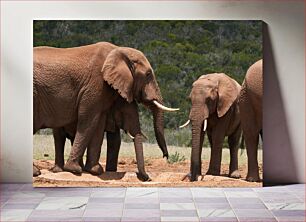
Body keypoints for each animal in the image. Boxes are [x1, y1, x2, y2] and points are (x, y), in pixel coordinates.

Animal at [32, 42, 177, 179]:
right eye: (148, 74)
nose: (165, 156)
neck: (119, 50)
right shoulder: (96, 84)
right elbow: (88, 121)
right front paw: (76, 169)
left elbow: (99, 125)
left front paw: (94, 170)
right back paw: (40, 172)